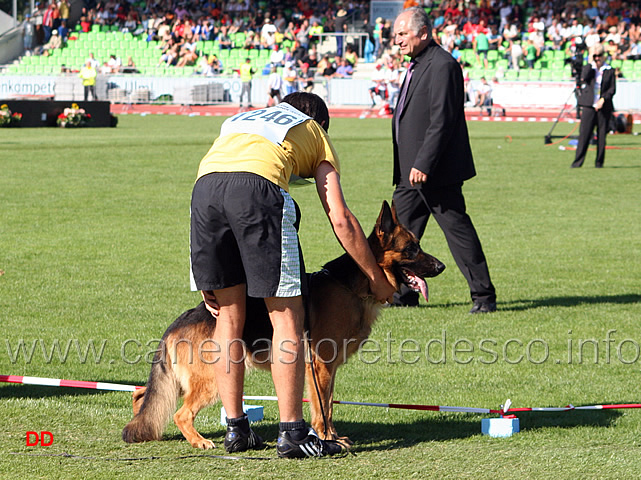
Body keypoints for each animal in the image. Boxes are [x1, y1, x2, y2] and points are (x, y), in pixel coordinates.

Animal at [121, 202, 444, 450]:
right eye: (412, 249)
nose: (441, 266)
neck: (355, 285)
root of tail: (181, 320)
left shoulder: (327, 369)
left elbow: (327, 404)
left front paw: (333, 437)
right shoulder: (321, 367)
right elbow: (323, 408)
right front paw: (327, 438)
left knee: (141, 395)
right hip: (211, 378)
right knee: (181, 414)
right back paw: (199, 440)